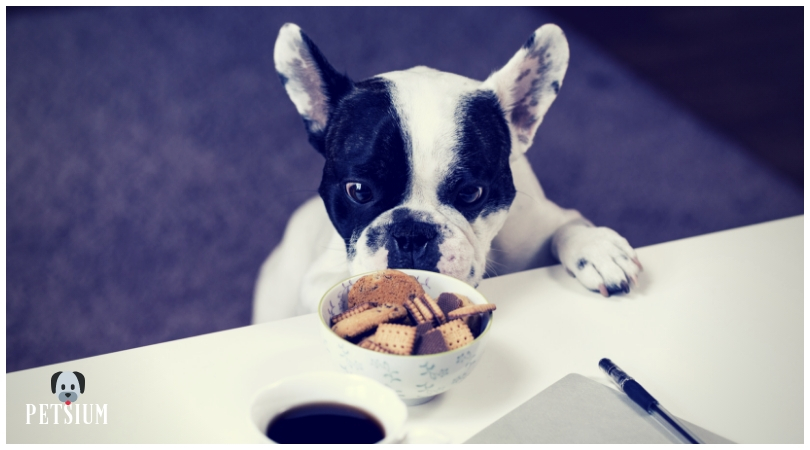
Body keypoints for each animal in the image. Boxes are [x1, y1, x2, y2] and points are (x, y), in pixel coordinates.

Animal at [249, 22, 640, 322]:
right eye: (358, 191)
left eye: (471, 194)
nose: (411, 233)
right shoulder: (319, 277)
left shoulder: (542, 223)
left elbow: (568, 226)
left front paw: (598, 249)